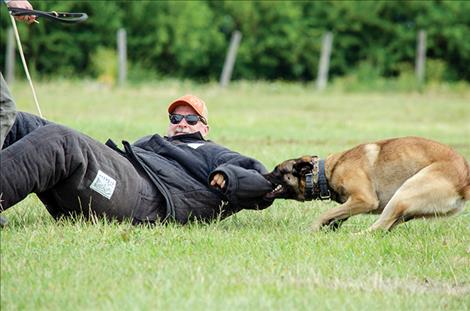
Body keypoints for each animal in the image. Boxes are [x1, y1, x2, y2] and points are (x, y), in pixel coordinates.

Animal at [264, 137, 470, 232]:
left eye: (276, 170)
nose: (262, 175)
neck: (325, 173)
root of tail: (465, 179)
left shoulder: (364, 199)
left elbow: (326, 214)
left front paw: (312, 230)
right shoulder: (352, 203)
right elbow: (337, 215)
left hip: (405, 192)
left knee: (379, 228)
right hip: (406, 208)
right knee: (386, 228)